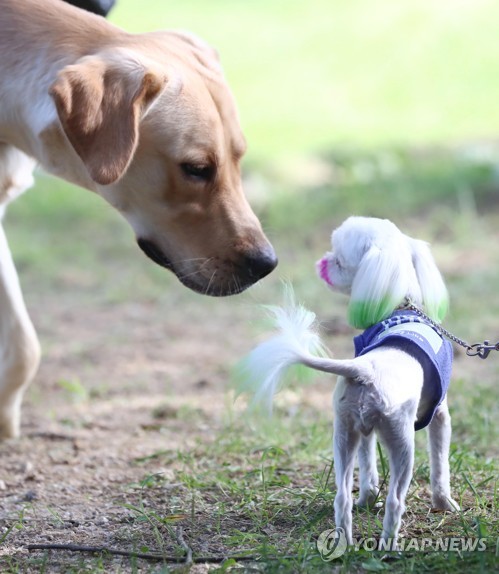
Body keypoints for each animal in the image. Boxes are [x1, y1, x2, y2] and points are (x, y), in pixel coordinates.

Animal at [242, 216, 459, 546]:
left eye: (340, 261)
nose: (322, 261)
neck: (400, 306)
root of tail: (366, 369)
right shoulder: (440, 416)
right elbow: (440, 465)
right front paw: (444, 503)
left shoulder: (364, 431)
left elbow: (368, 471)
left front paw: (368, 500)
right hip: (401, 441)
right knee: (396, 500)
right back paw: (389, 544)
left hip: (344, 433)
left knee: (342, 496)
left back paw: (345, 540)